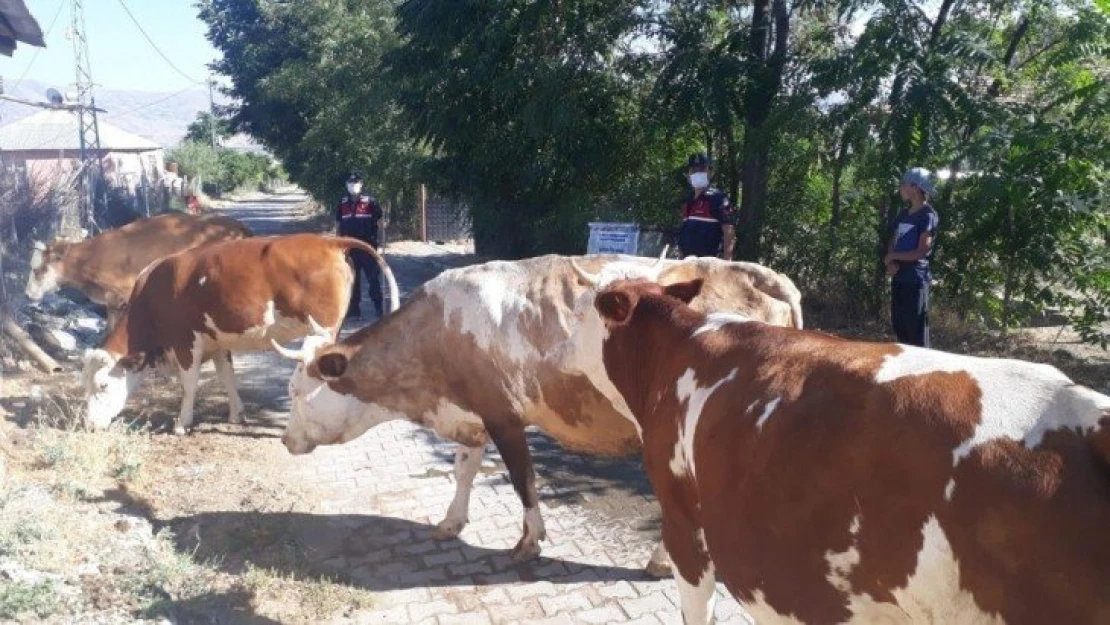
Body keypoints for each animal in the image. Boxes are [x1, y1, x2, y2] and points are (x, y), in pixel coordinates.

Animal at [82, 233, 397, 435]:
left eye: (103, 386)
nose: (89, 425)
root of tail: (329, 240)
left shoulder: (185, 342)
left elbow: (189, 385)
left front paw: (182, 423)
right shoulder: (217, 342)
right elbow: (227, 377)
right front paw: (237, 415)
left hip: (324, 331)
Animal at [269, 253, 803, 572]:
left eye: (294, 391)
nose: (285, 440)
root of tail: (758, 274)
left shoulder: (503, 414)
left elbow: (523, 480)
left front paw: (529, 542)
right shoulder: (472, 414)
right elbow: (463, 470)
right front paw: (451, 521)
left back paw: (662, 561)